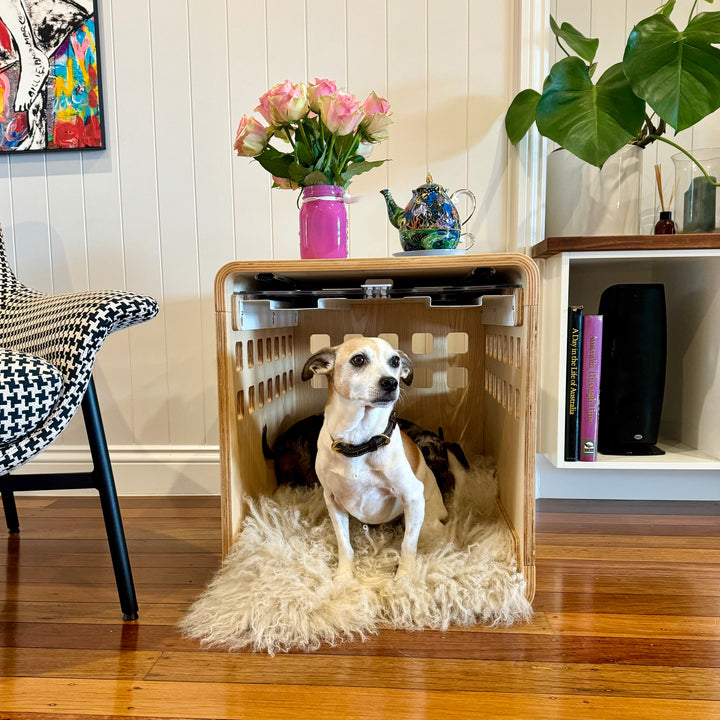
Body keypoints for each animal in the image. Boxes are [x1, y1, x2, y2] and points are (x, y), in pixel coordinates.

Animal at [300, 338, 448, 580]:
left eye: (395, 361)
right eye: (358, 359)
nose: (391, 383)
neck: (359, 442)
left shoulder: (412, 496)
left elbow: (408, 545)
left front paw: (404, 579)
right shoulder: (333, 501)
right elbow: (344, 545)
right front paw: (343, 578)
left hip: (426, 521)